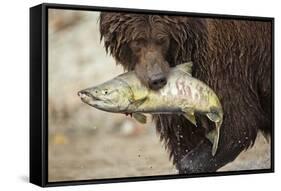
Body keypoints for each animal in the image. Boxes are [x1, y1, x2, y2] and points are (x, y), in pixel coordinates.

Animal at [98, 11, 272, 173]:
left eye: (162, 39)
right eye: (137, 41)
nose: (157, 79)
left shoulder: (226, 64)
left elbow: (237, 127)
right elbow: (183, 134)